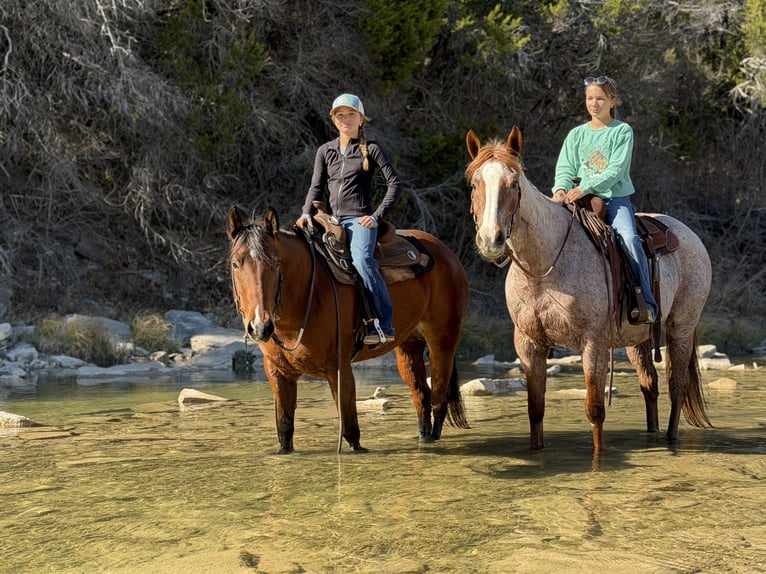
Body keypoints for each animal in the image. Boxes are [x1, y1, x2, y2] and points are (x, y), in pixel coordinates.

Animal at [227, 205, 470, 453]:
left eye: (276, 262)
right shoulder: (277, 372)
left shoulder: (339, 368)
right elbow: (285, 430)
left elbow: (351, 429)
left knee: (439, 396)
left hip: (443, 341)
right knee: (421, 395)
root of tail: (446, 252)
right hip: (409, 346)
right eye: (235, 264)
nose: (259, 326)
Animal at [465, 127, 712, 454]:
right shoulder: (528, 343)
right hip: (638, 339)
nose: (490, 239)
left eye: (514, 184)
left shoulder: (593, 342)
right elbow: (535, 409)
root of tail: (689, 233)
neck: (545, 267)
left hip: (681, 327)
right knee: (650, 384)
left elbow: (595, 409)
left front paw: (598, 459)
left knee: (677, 385)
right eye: (474, 184)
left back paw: (671, 439)